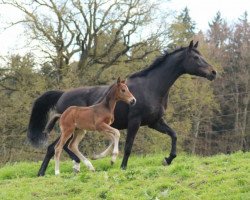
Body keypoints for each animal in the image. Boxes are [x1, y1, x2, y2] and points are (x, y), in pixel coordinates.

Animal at [26, 41, 215, 177]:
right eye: (196, 57)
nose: (213, 73)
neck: (152, 87)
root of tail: (62, 94)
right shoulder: (135, 121)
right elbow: (129, 146)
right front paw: (122, 166)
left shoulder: (155, 122)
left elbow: (174, 135)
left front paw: (168, 160)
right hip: (70, 129)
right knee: (56, 147)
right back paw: (62, 169)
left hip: (76, 129)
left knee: (60, 147)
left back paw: (61, 169)